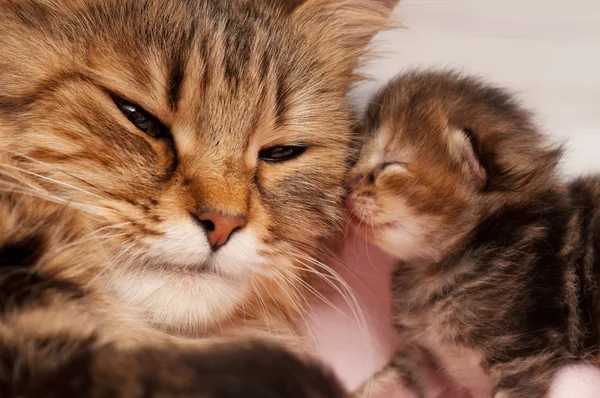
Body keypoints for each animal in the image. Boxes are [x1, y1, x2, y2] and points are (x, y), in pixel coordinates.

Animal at [346, 70, 600, 396]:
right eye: (356, 157)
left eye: (390, 165)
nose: (346, 184)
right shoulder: (423, 357)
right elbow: (378, 382)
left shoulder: (523, 360)